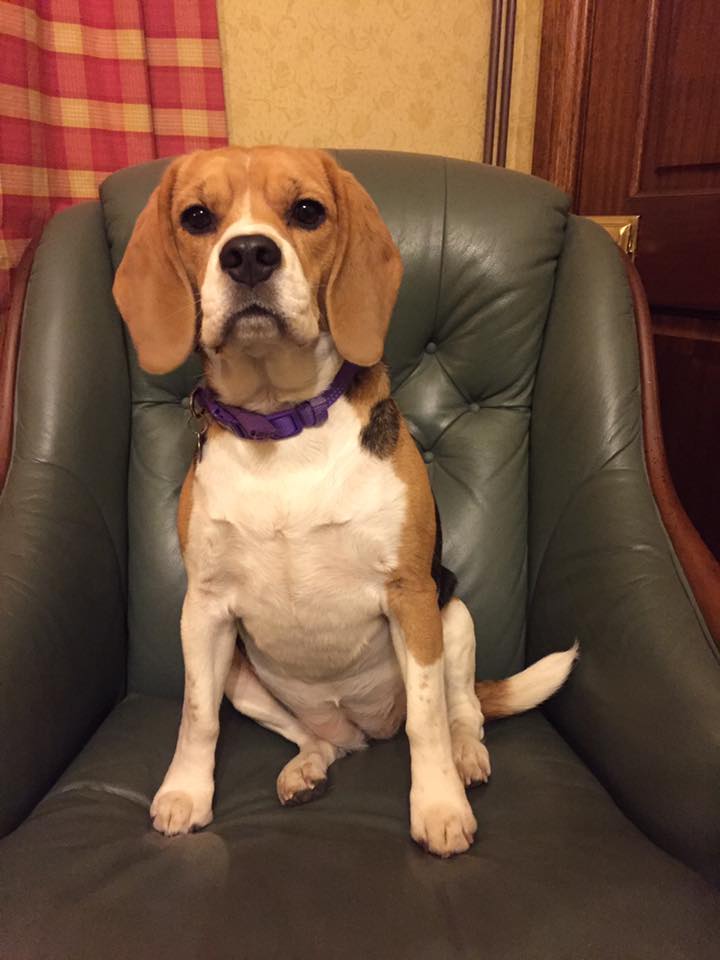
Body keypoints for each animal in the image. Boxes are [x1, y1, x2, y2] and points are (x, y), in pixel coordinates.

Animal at [113, 146, 577, 858]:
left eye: (308, 211)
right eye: (196, 218)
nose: (248, 254)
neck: (281, 424)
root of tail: (363, 727)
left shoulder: (410, 596)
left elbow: (427, 722)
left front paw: (439, 807)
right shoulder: (204, 609)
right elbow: (196, 716)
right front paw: (186, 793)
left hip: (454, 617)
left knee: (462, 708)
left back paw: (466, 757)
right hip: (246, 678)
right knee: (321, 740)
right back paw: (308, 765)